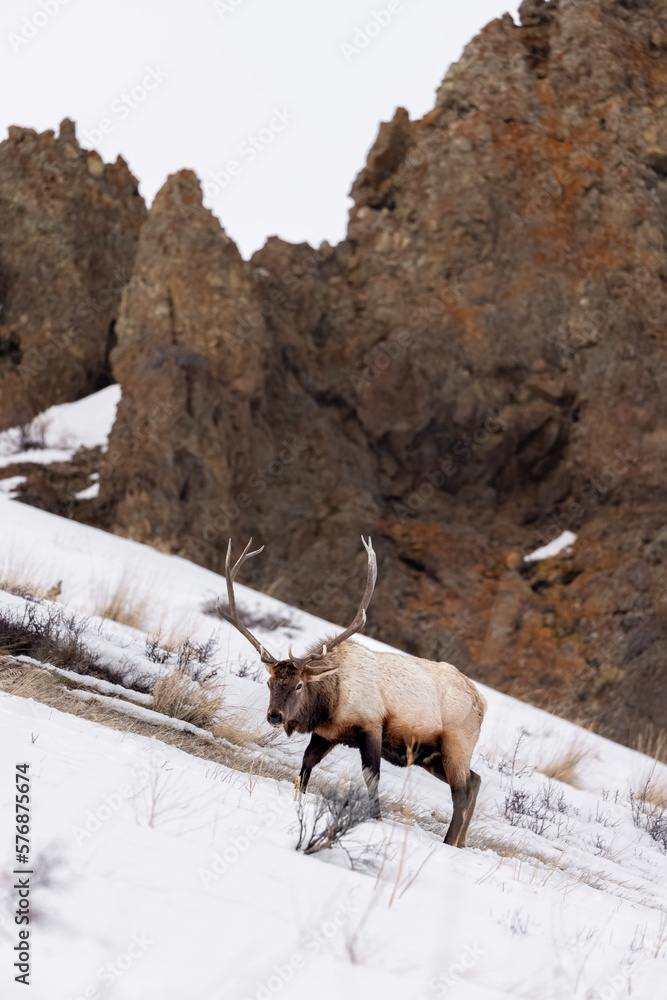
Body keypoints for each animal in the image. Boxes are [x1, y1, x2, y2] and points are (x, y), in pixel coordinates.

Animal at [217, 536, 487, 847]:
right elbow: (306, 763)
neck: (330, 701)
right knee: (475, 779)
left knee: (461, 792)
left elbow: (371, 776)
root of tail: (483, 702)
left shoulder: (371, 725)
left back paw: (448, 841)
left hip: (456, 744)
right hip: (431, 756)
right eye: (270, 683)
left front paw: (375, 818)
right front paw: (299, 799)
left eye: (299, 685)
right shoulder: (327, 733)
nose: (275, 715)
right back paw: (461, 841)